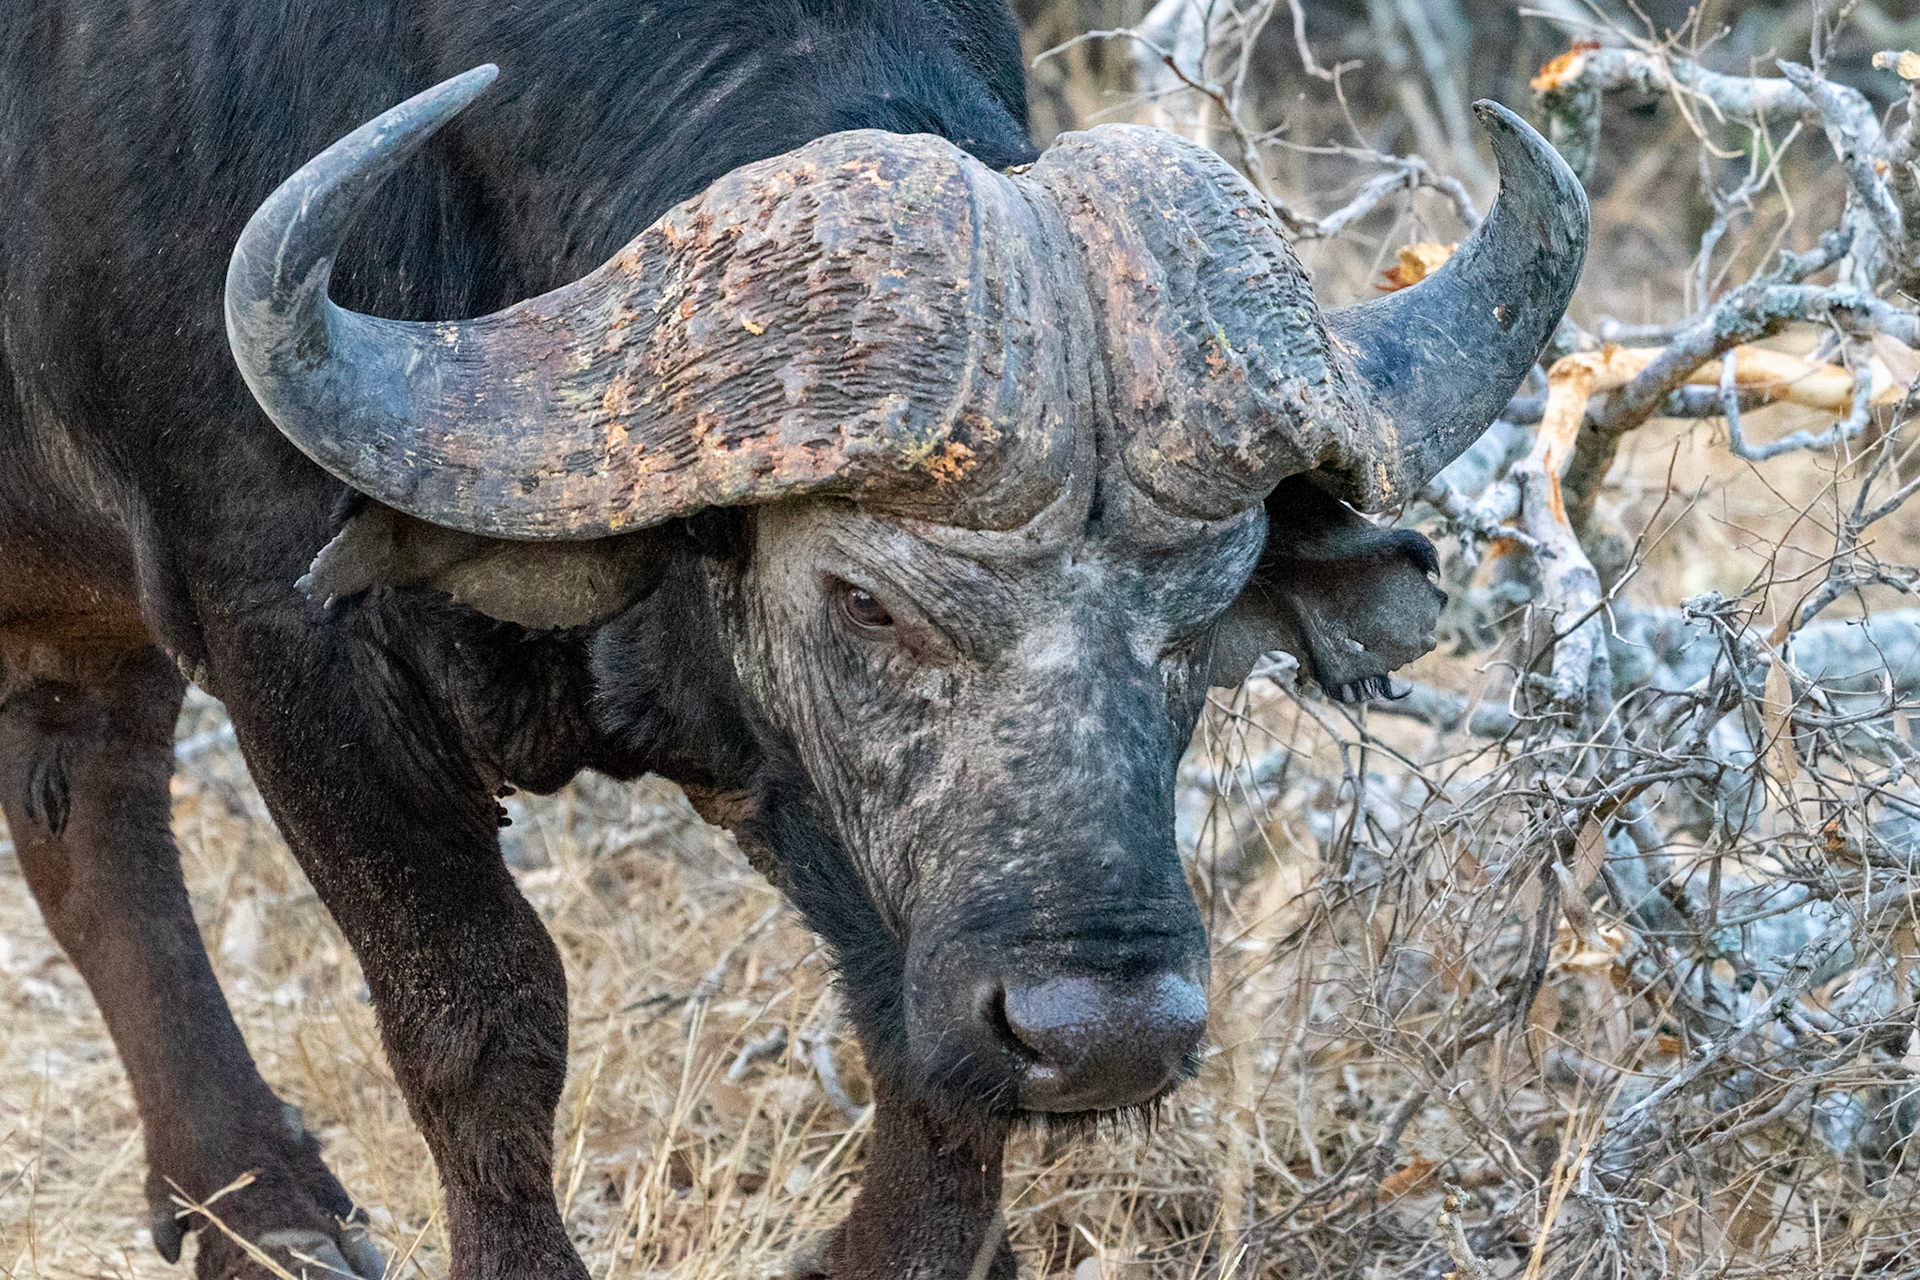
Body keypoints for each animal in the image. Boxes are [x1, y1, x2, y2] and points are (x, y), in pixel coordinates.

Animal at [0, 1, 1586, 1276]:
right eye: (864, 598)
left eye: (1205, 614)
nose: (1107, 1031)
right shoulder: (288, 639)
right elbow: (481, 1015)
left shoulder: (817, 788)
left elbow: (920, 1043)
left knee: (89, 815)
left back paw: (243, 1205)